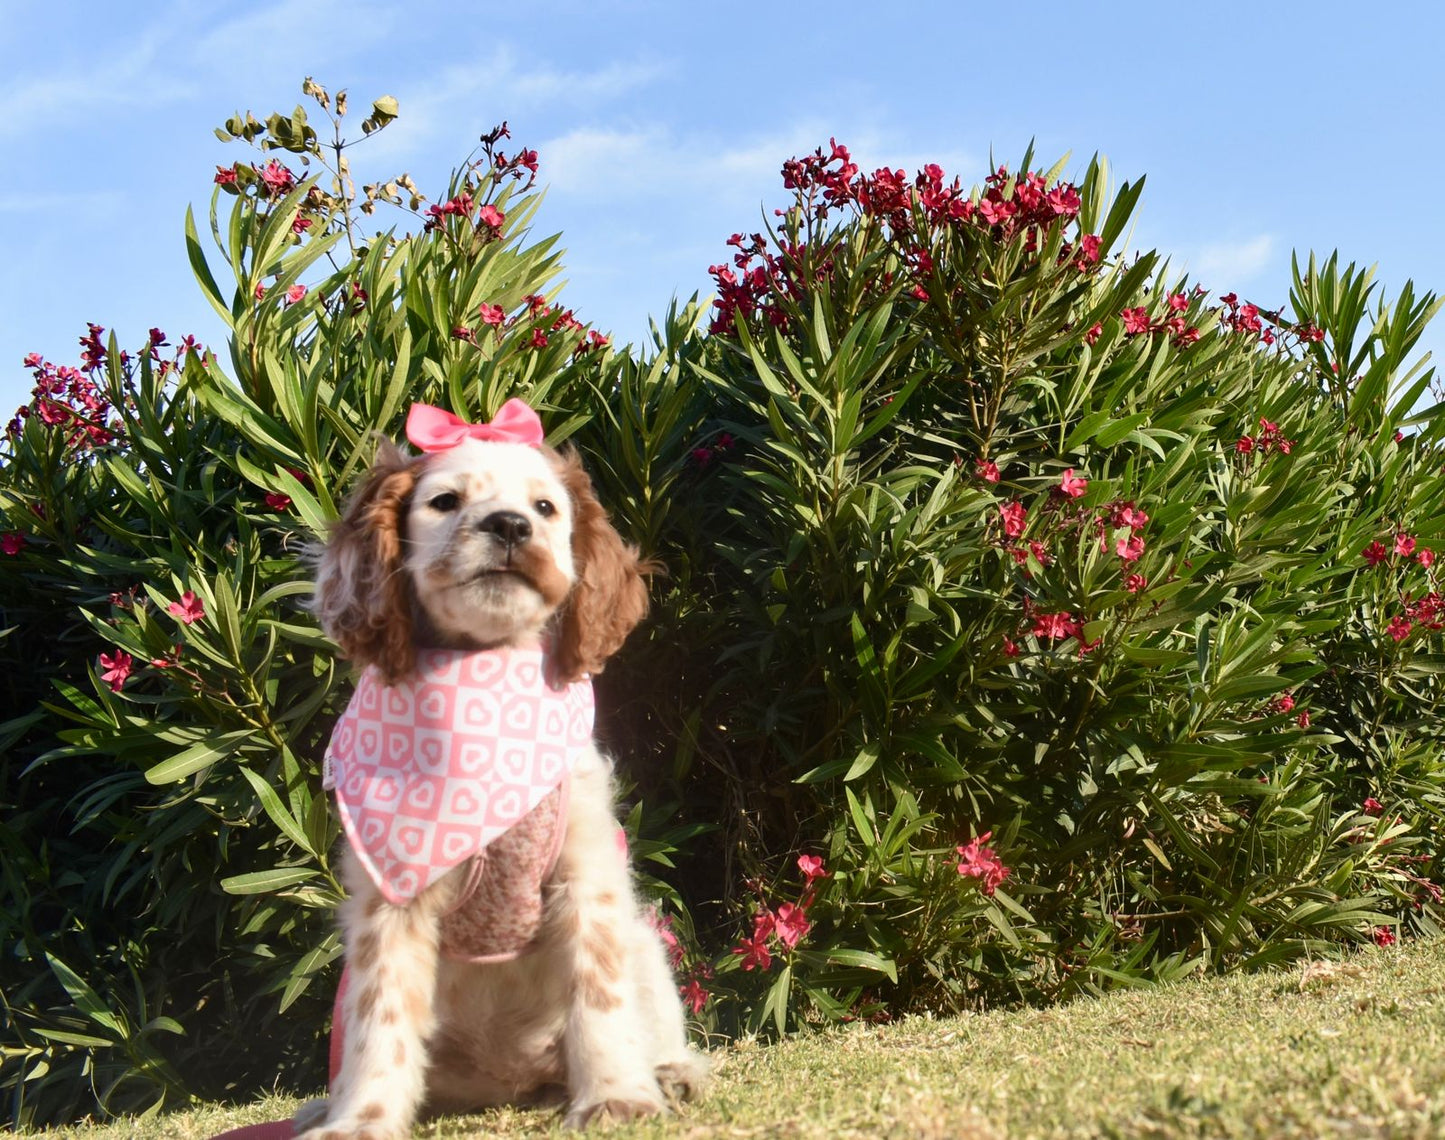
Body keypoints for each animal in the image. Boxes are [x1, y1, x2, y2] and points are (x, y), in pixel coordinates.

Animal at [300, 395, 710, 1132]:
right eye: (444, 501)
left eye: (545, 508)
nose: (511, 524)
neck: (484, 670)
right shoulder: (388, 907)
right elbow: (381, 1019)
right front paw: (362, 1120)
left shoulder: (587, 876)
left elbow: (600, 996)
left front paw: (616, 1096)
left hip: (646, 944)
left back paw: (672, 1071)